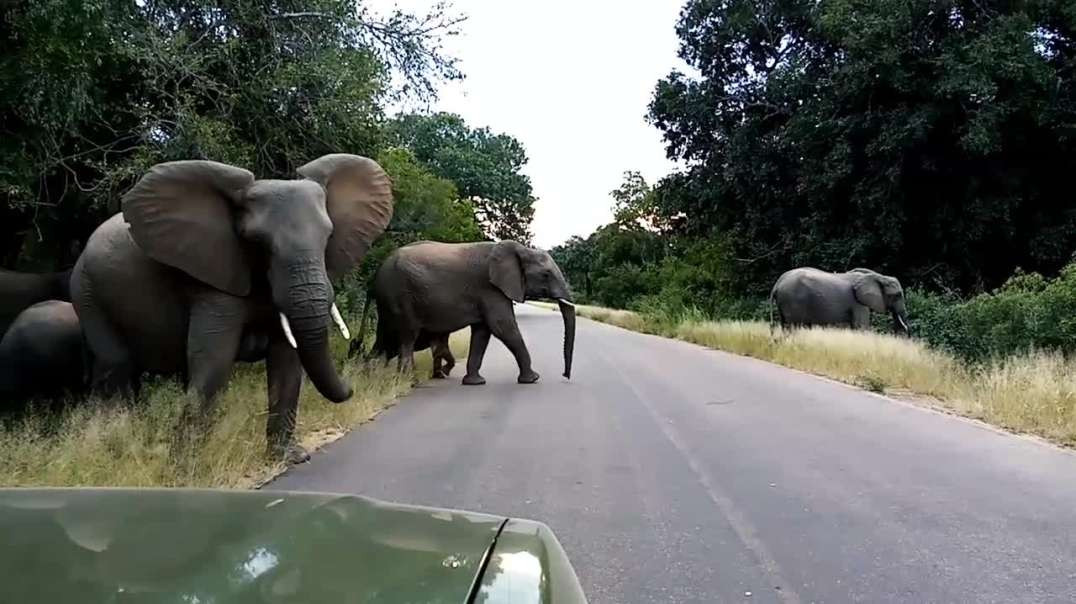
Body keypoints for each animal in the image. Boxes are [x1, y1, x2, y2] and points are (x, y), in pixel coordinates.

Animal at [70, 152, 395, 458]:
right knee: (116, 369)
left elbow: (287, 360)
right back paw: (115, 445)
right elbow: (214, 359)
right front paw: (186, 468)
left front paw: (289, 457)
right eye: (258, 243)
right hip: (87, 293)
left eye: (328, 236)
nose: (352, 385)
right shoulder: (212, 279)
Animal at [770, 267, 912, 333]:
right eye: (897, 295)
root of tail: (777, 283)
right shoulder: (858, 302)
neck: (878, 276)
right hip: (792, 300)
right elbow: (861, 327)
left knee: (785, 324)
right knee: (793, 326)